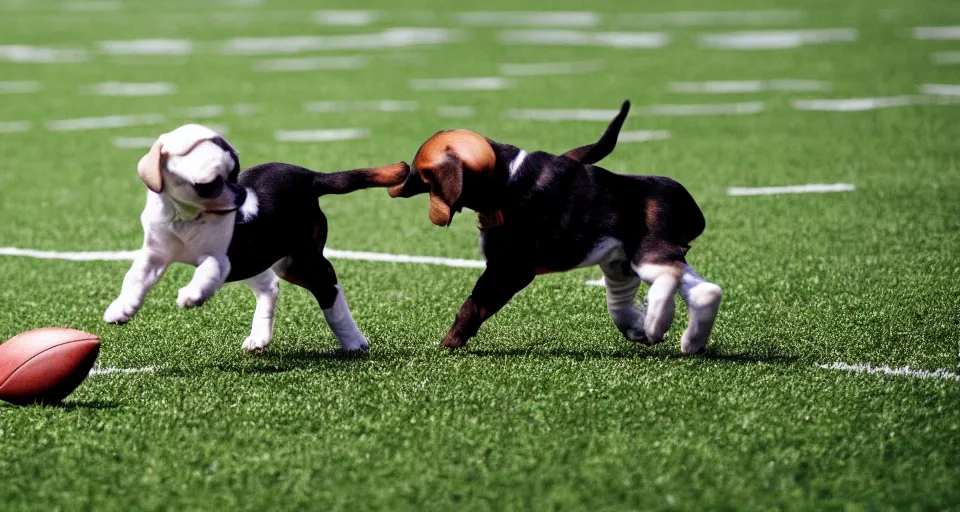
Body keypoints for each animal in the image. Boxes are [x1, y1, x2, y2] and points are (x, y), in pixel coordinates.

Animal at [108, 125, 408, 352]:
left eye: (235, 173)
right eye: (210, 184)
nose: (242, 194)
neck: (185, 215)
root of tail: (311, 177)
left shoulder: (220, 259)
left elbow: (207, 270)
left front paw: (192, 295)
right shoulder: (155, 254)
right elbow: (134, 279)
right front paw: (122, 309)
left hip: (299, 260)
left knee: (328, 287)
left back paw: (353, 341)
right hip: (264, 259)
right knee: (271, 286)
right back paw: (260, 338)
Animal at [388, 102, 720, 354]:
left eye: (420, 167)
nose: (400, 176)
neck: (506, 177)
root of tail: (689, 206)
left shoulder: (509, 268)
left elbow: (473, 305)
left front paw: (449, 342)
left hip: (647, 254)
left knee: (671, 279)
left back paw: (655, 325)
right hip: (642, 258)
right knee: (705, 291)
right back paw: (688, 341)